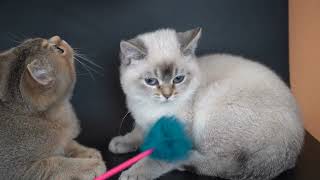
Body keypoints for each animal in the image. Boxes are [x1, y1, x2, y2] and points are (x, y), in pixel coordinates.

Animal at [0, 35, 106, 179]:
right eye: (59, 49)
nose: (58, 37)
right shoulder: (18, 170)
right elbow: (56, 163)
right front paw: (90, 165)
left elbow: (68, 143)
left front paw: (86, 152)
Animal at [109, 28, 304, 180]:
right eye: (151, 81)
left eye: (178, 79)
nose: (167, 95)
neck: (152, 108)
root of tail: (292, 146)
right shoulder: (144, 122)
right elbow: (137, 133)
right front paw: (120, 143)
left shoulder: (175, 136)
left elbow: (155, 159)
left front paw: (133, 173)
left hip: (210, 105)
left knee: (225, 164)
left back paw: (186, 161)